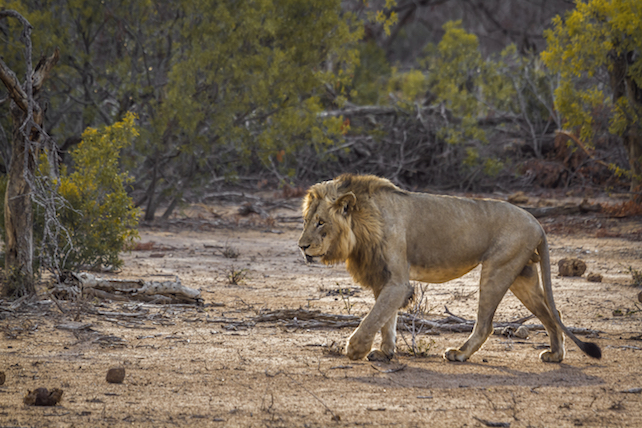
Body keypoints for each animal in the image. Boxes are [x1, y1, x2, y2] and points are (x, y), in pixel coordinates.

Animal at [298, 174, 601, 363]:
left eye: (321, 222)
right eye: (306, 221)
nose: (301, 246)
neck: (362, 225)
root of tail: (537, 222)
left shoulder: (397, 282)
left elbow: (373, 317)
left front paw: (355, 349)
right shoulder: (383, 278)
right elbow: (386, 320)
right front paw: (385, 353)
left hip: (497, 270)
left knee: (486, 324)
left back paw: (459, 354)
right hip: (522, 276)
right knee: (553, 313)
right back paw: (555, 356)